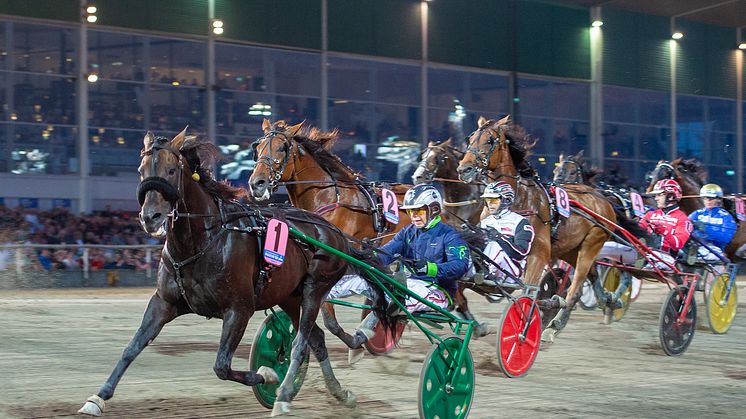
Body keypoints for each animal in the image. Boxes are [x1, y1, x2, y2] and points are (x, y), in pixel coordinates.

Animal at [77, 130, 390, 418]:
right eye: (141, 170)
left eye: (171, 170)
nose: (150, 217)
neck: (202, 240)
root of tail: (332, 231)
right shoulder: (164, 303)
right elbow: (132, 347)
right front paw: (97, 398)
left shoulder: (239, 309)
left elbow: (221, 365)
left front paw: (268, 374)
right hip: (290, 296)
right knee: (317, 339)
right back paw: (339, 392)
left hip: (315, 289)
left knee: (301, 343)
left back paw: (284, 395)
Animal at [456, 116, 612, 342]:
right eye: (470, 139)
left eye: (490, 141)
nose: (464, 169)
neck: (516, 199)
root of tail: (602, 199)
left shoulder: (539, 254)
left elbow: (528, 292)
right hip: (569, 249)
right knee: (589, 278)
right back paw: (608, 300)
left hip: (592, 244)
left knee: (575, 289)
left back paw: (555, 324)